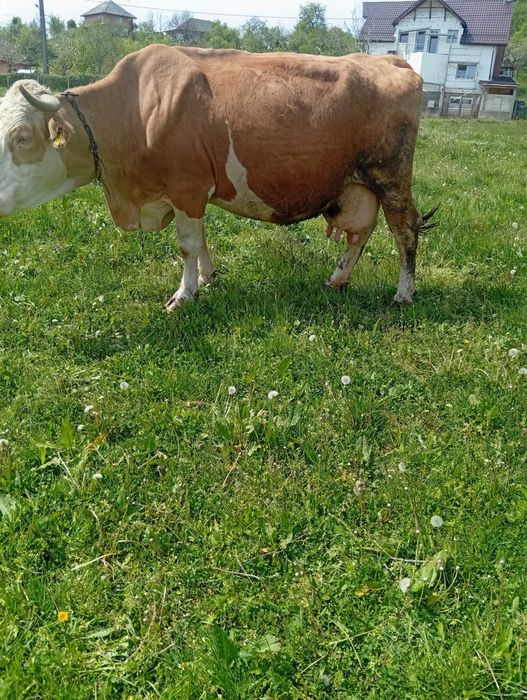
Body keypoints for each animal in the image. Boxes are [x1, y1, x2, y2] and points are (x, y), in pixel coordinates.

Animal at [0, 44, 433, 309]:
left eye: (22, 137)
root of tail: (390, 60)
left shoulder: (186, 187)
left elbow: (187, 245)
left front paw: (184, 293)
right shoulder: (187, 193)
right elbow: (201, 239)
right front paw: (208, 278)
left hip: (392, 175)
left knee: (405, 231)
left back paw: (404, 293)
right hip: (357, 184)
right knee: (361, 232)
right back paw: (337, 279)